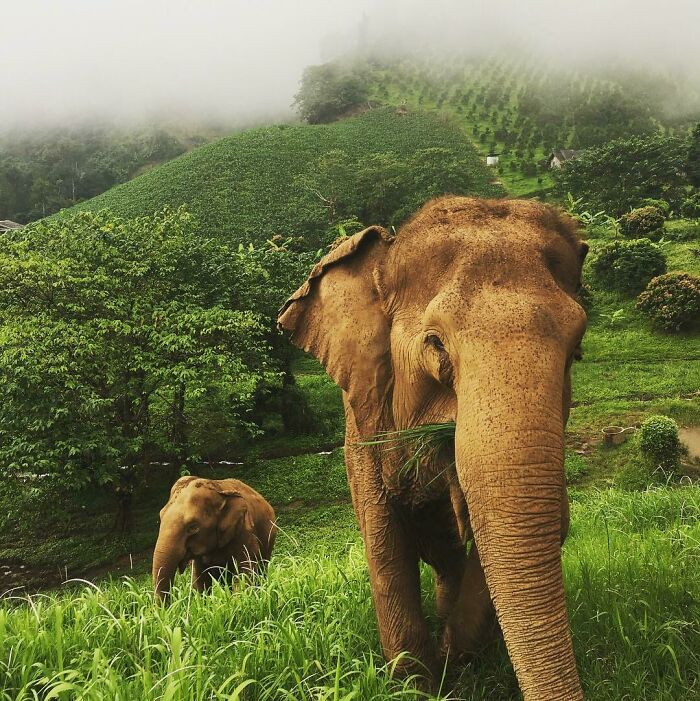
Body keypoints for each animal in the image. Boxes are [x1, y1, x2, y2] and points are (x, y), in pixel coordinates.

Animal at [278, 196, 588, 700]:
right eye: (436, 344)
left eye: (575, 350)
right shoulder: (362, 423)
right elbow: (385, 543)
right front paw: (416, 683)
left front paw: (454, 657)